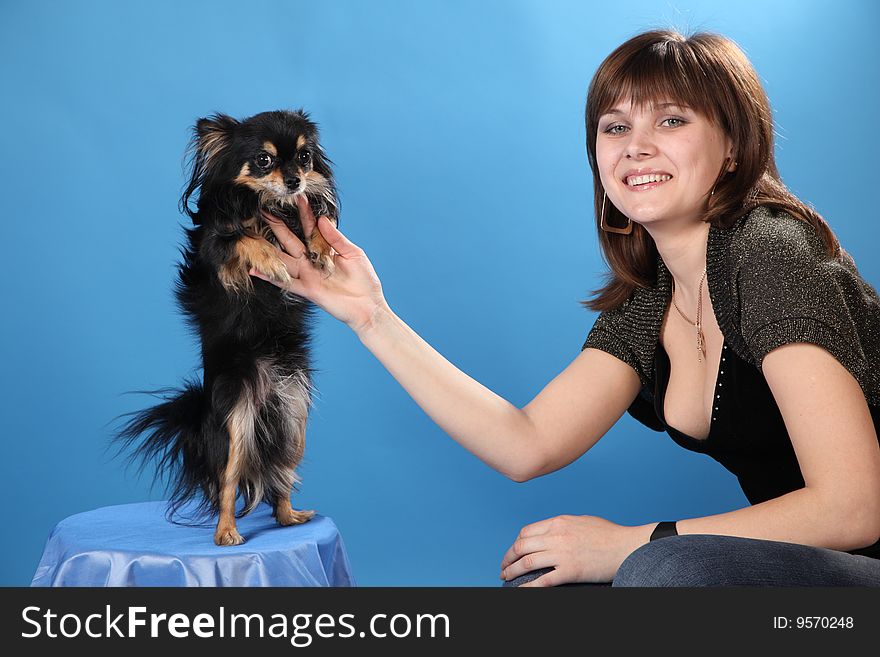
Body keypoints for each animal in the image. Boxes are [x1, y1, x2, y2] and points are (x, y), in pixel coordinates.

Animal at [117, 110, 336, 544]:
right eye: (264, 161)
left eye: (304, 157)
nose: (294, 181)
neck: (268, 203)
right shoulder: (215, 250)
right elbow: (241, 239)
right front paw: (272, 258)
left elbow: (318, 219)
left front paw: (321, 248)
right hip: (237, 422)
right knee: (229, 482)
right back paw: (226, 532)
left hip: (294, 417)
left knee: (280, 472)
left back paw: (289, 516)